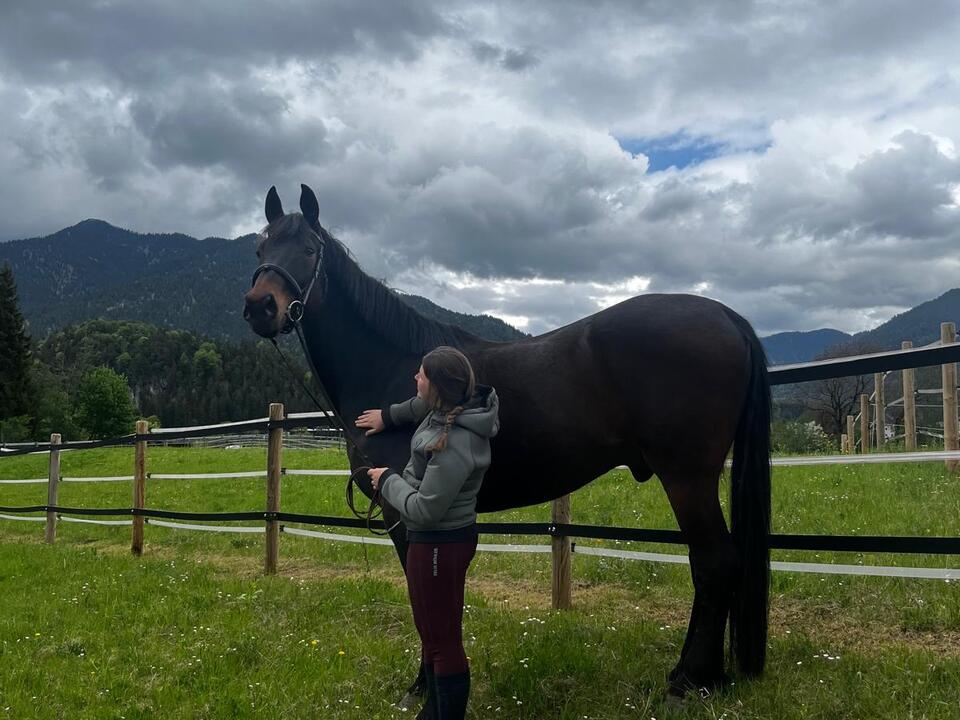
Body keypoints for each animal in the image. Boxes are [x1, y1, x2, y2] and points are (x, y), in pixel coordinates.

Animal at [243, 184, 771, 698]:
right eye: (261, 248)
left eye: (309, 249)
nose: (259, 306)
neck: (389, 366)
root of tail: (728, 317)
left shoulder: (405, 512)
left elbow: (422, 598)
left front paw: (422, 685)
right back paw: (701, 676)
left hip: (687, 477)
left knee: (715, 563)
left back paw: (690, 680)